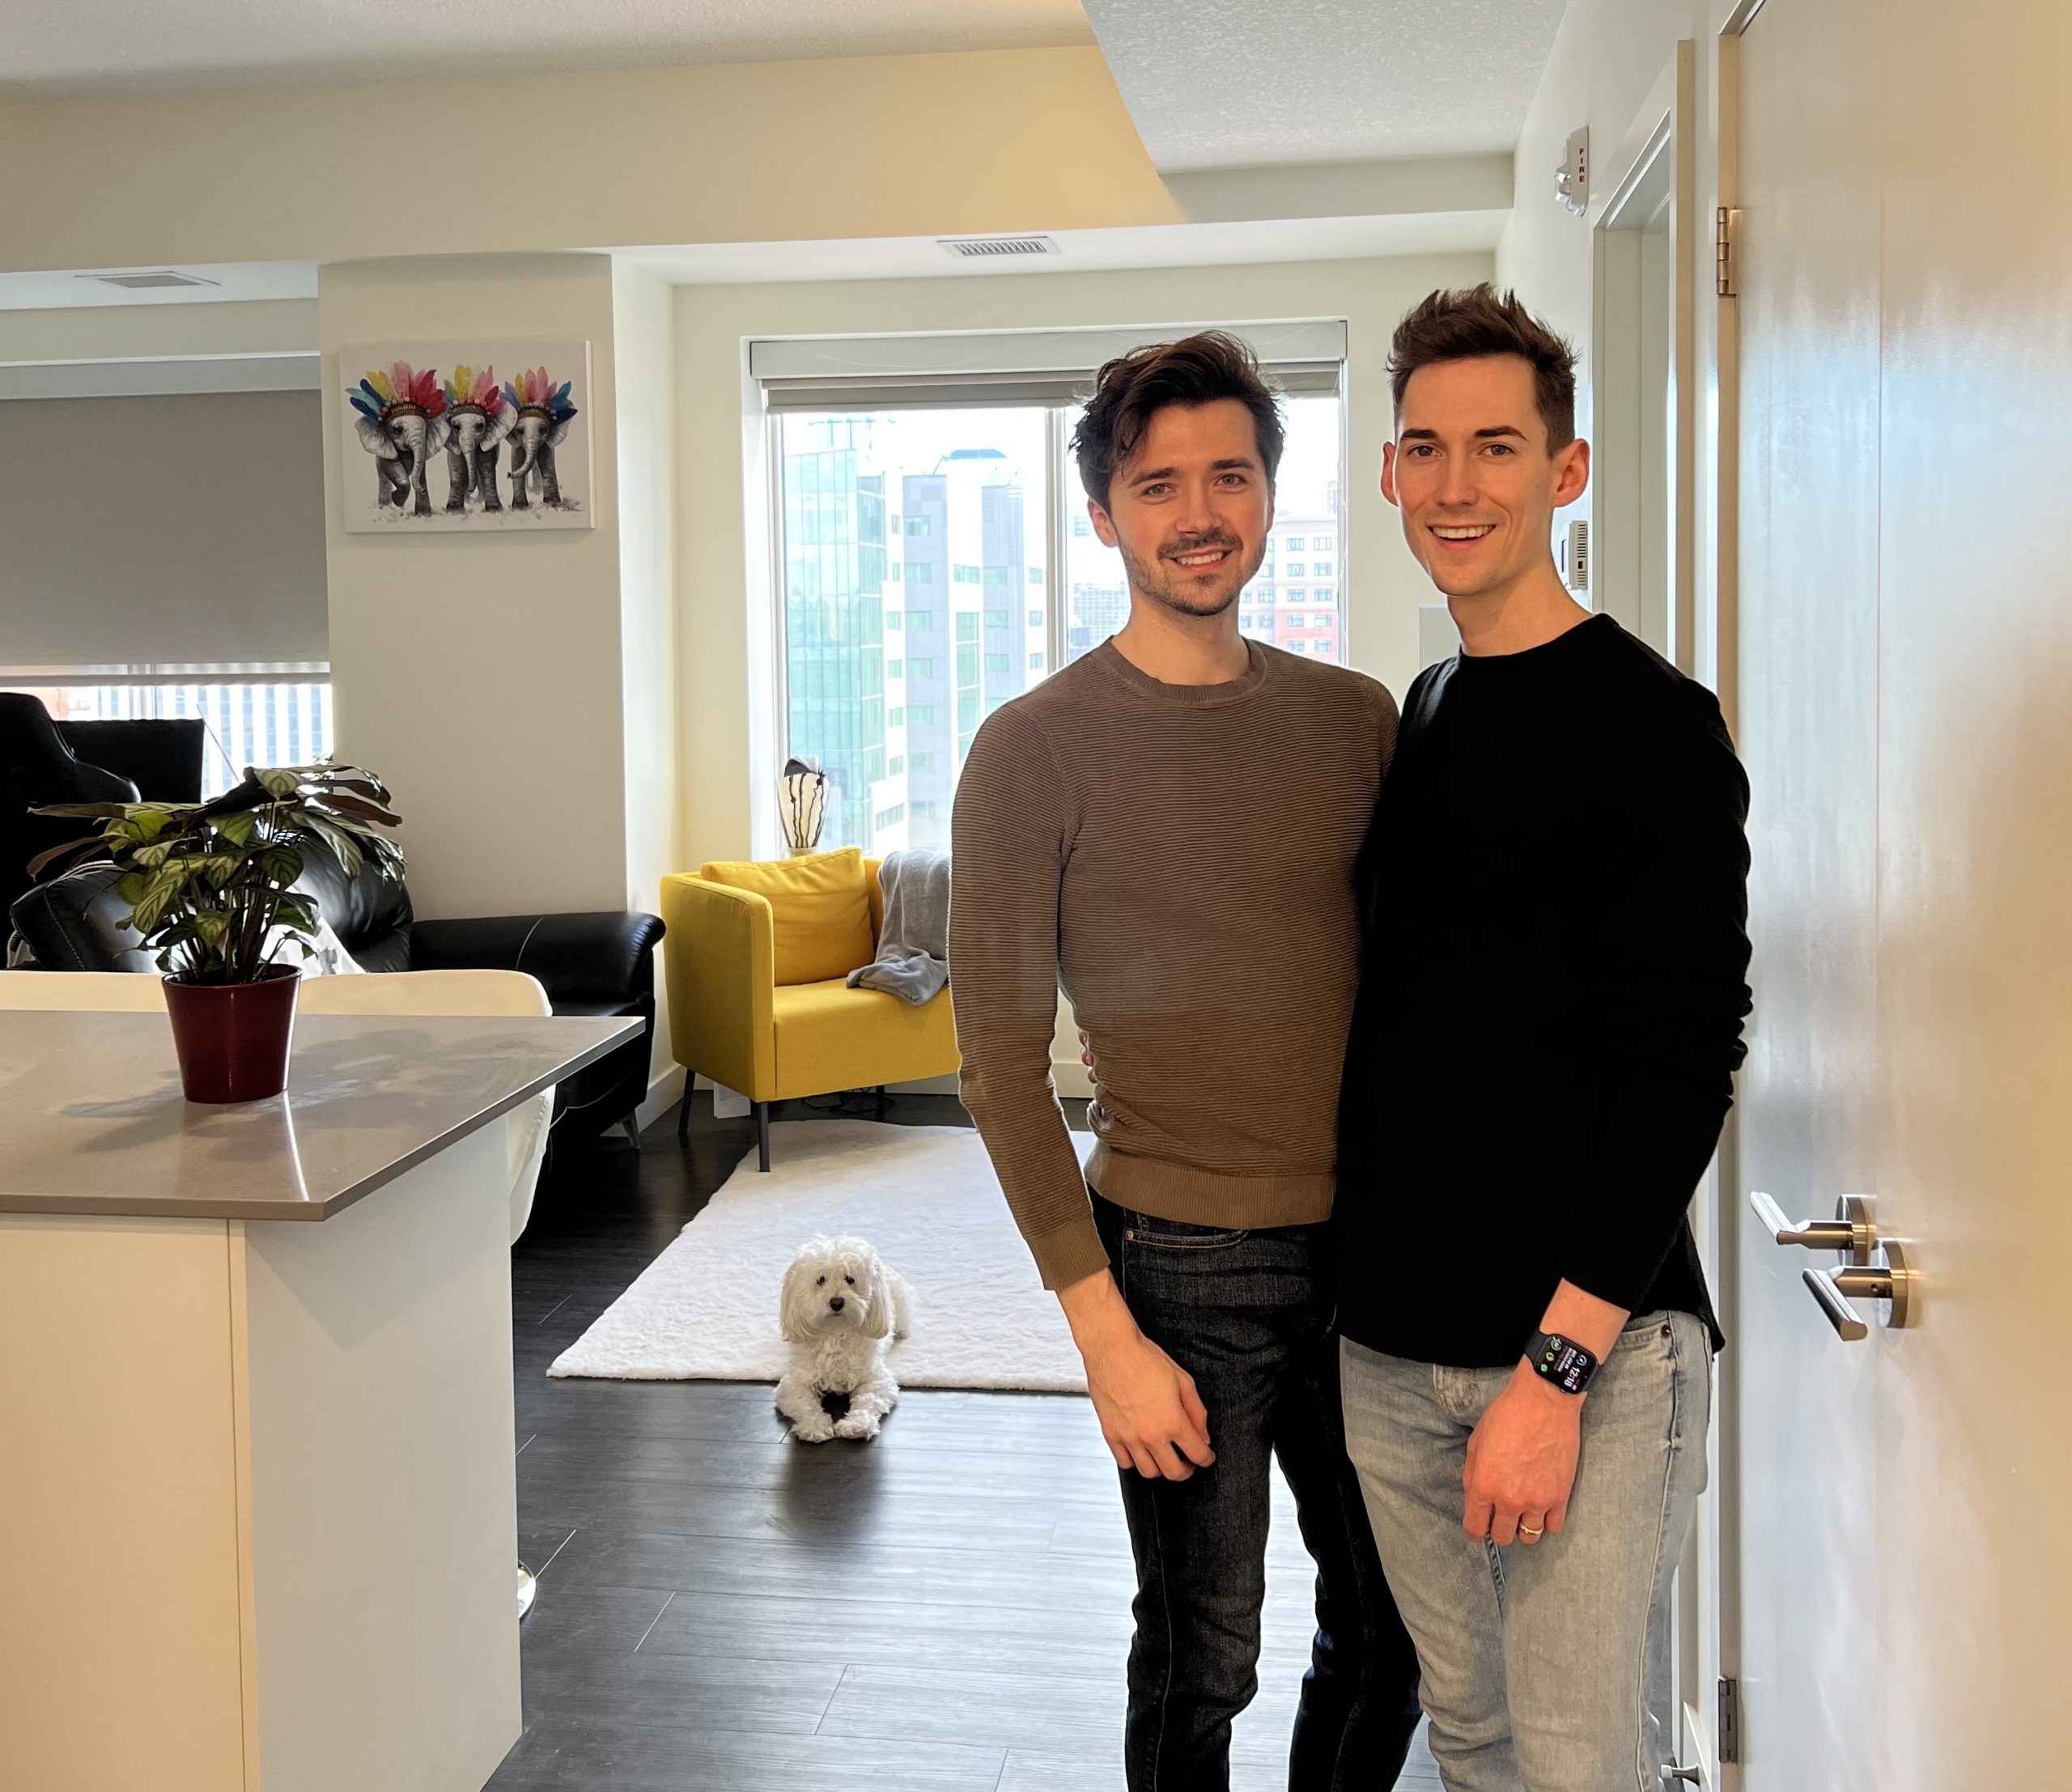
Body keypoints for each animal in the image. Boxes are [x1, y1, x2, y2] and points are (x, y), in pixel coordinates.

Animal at [775, 1226, 911, 1442]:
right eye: (820, 1280)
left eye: (850, 1279)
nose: (837, 1302)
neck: (835, 1332)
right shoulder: (794, 1383)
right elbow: (804, 1404)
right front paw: (815, 1426)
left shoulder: (877, 1380)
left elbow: (868, 1399)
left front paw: (857, 1424)